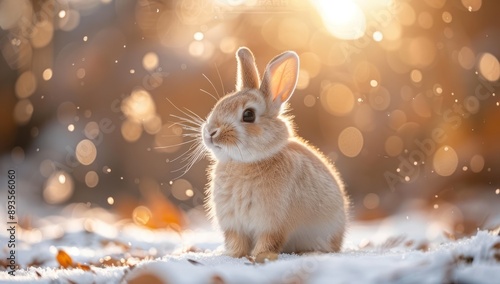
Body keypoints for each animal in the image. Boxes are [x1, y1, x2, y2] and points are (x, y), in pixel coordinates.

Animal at [201, 46, 350, 262]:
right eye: (220, 104)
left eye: (248, 115)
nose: (211, 132)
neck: (245, 163)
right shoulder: (234, 225)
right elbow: (237, 242)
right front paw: (233, 255)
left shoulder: (273, 223)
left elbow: (269, 241)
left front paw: (261, 256)